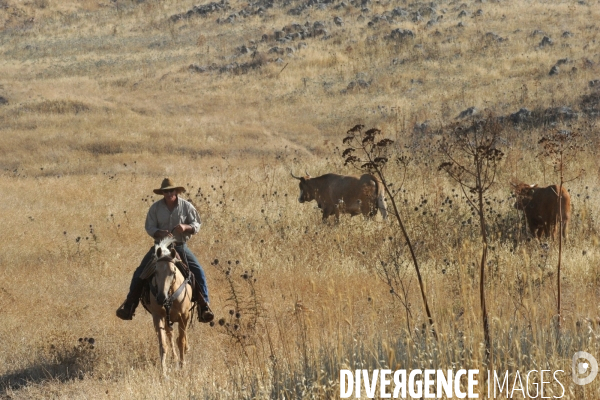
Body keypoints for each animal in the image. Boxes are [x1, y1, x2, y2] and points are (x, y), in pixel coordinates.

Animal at [139, 236, 193, 374]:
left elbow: (181, 340)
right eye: (155, 271)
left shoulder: (184, 316)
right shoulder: (158, 316)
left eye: (173, 272)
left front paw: (182, 365)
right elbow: (163, 344)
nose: (161, 298)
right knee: (170, 334)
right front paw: (163, 371)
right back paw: (174, 358)